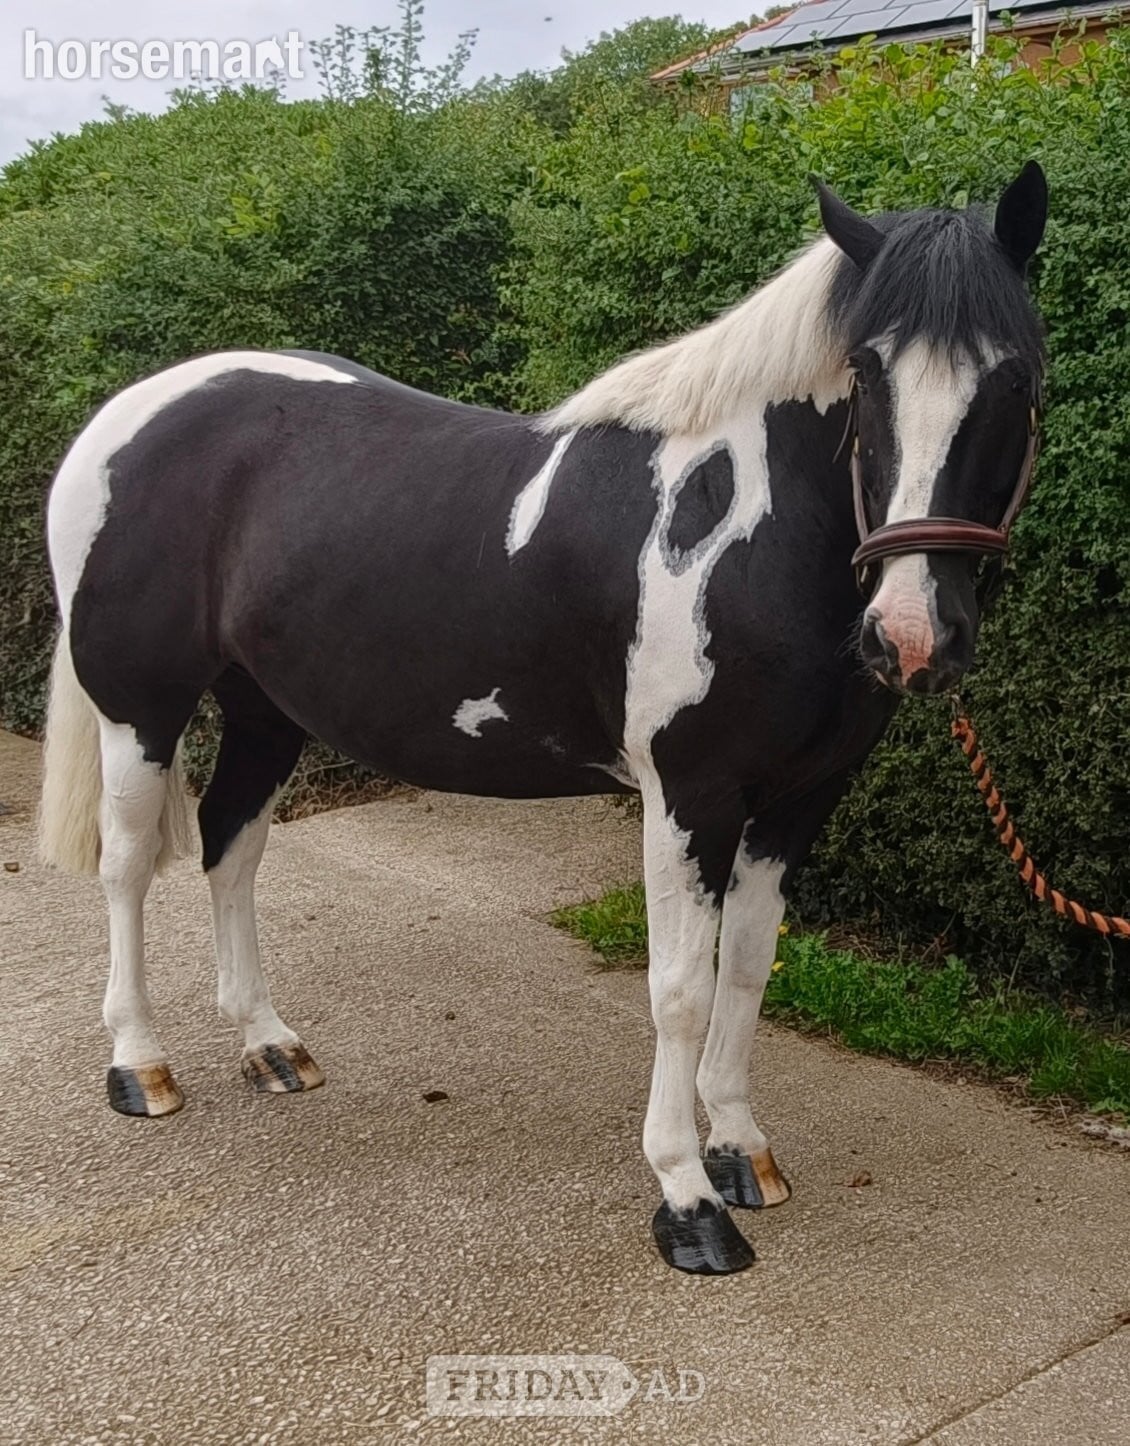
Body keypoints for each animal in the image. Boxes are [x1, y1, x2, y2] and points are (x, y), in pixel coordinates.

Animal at [38, 164, 1048, 1275]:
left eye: (1014, 379)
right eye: (865, 371)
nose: (910, 634)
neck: (747, 535)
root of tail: (124, 414)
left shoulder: (796, 802)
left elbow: (746, 970)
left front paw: (741, 1151)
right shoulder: (689, 796)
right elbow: (679, 990)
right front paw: (687, 1200)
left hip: (266, 713)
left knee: (231, 844)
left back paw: (269, 1045)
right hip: (140, 709)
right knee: (130, 864)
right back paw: (140, 1067)